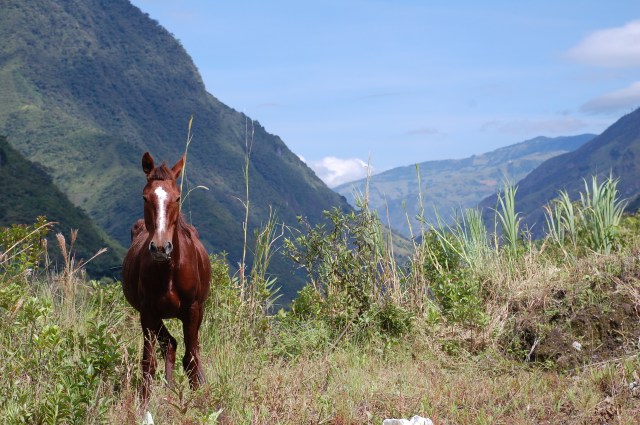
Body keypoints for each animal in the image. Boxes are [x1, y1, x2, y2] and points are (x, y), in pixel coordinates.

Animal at [122, 152, 211, 411]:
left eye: (177, 197)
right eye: (145, 197)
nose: (161, 247)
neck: (170, 270)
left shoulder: (192, 310)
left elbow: (191, 360)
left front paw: (198, 401)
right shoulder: (147, 312)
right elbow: (148, 362)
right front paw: (144, 406)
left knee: (185, 350)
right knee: (169, 345)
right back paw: (170, 393)